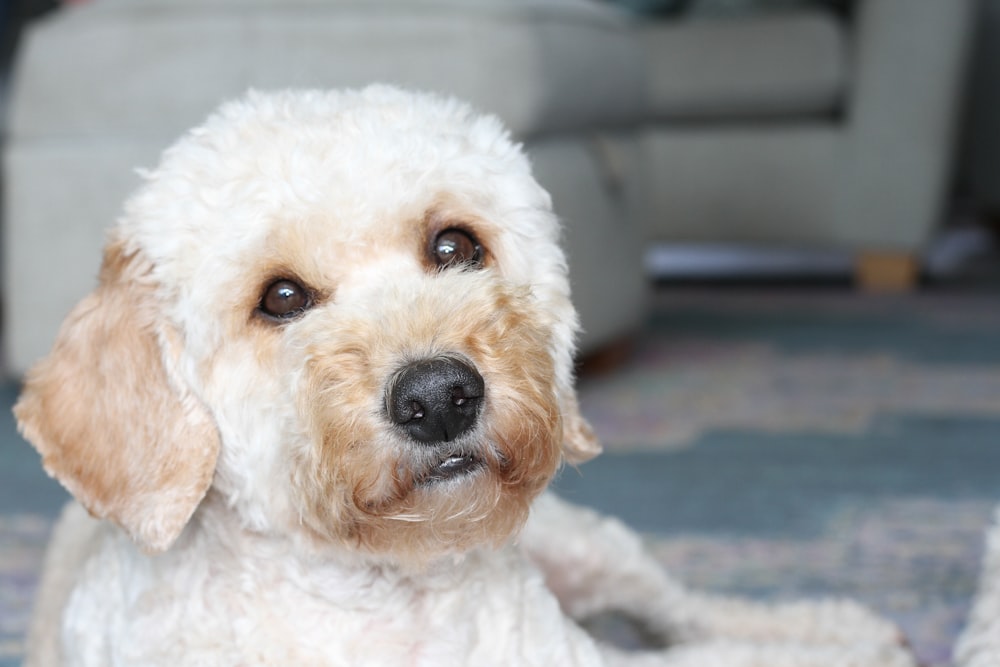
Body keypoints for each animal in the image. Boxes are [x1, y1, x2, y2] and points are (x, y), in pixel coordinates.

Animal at [13, 86, 916, 664]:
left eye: (454, 245)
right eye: (280, 297)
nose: (439, 396)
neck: (385, 597)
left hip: (587, 548)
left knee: (696, 616)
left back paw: (852, 630)